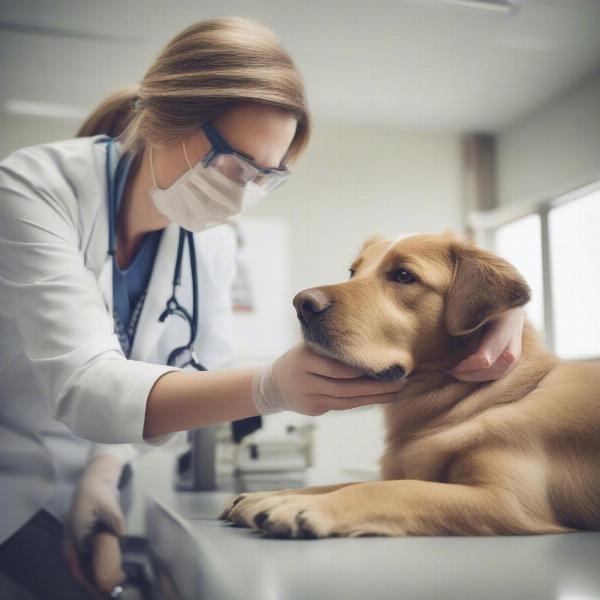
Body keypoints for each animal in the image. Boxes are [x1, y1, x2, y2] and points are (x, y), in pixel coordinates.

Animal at [219, 231, 600, 540]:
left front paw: (301, 506)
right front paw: (272, 495)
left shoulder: (508, 499)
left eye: (403, 275)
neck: (482, 397)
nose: (302, 304)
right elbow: (350, 481)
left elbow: (389, 491)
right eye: (353, 272)